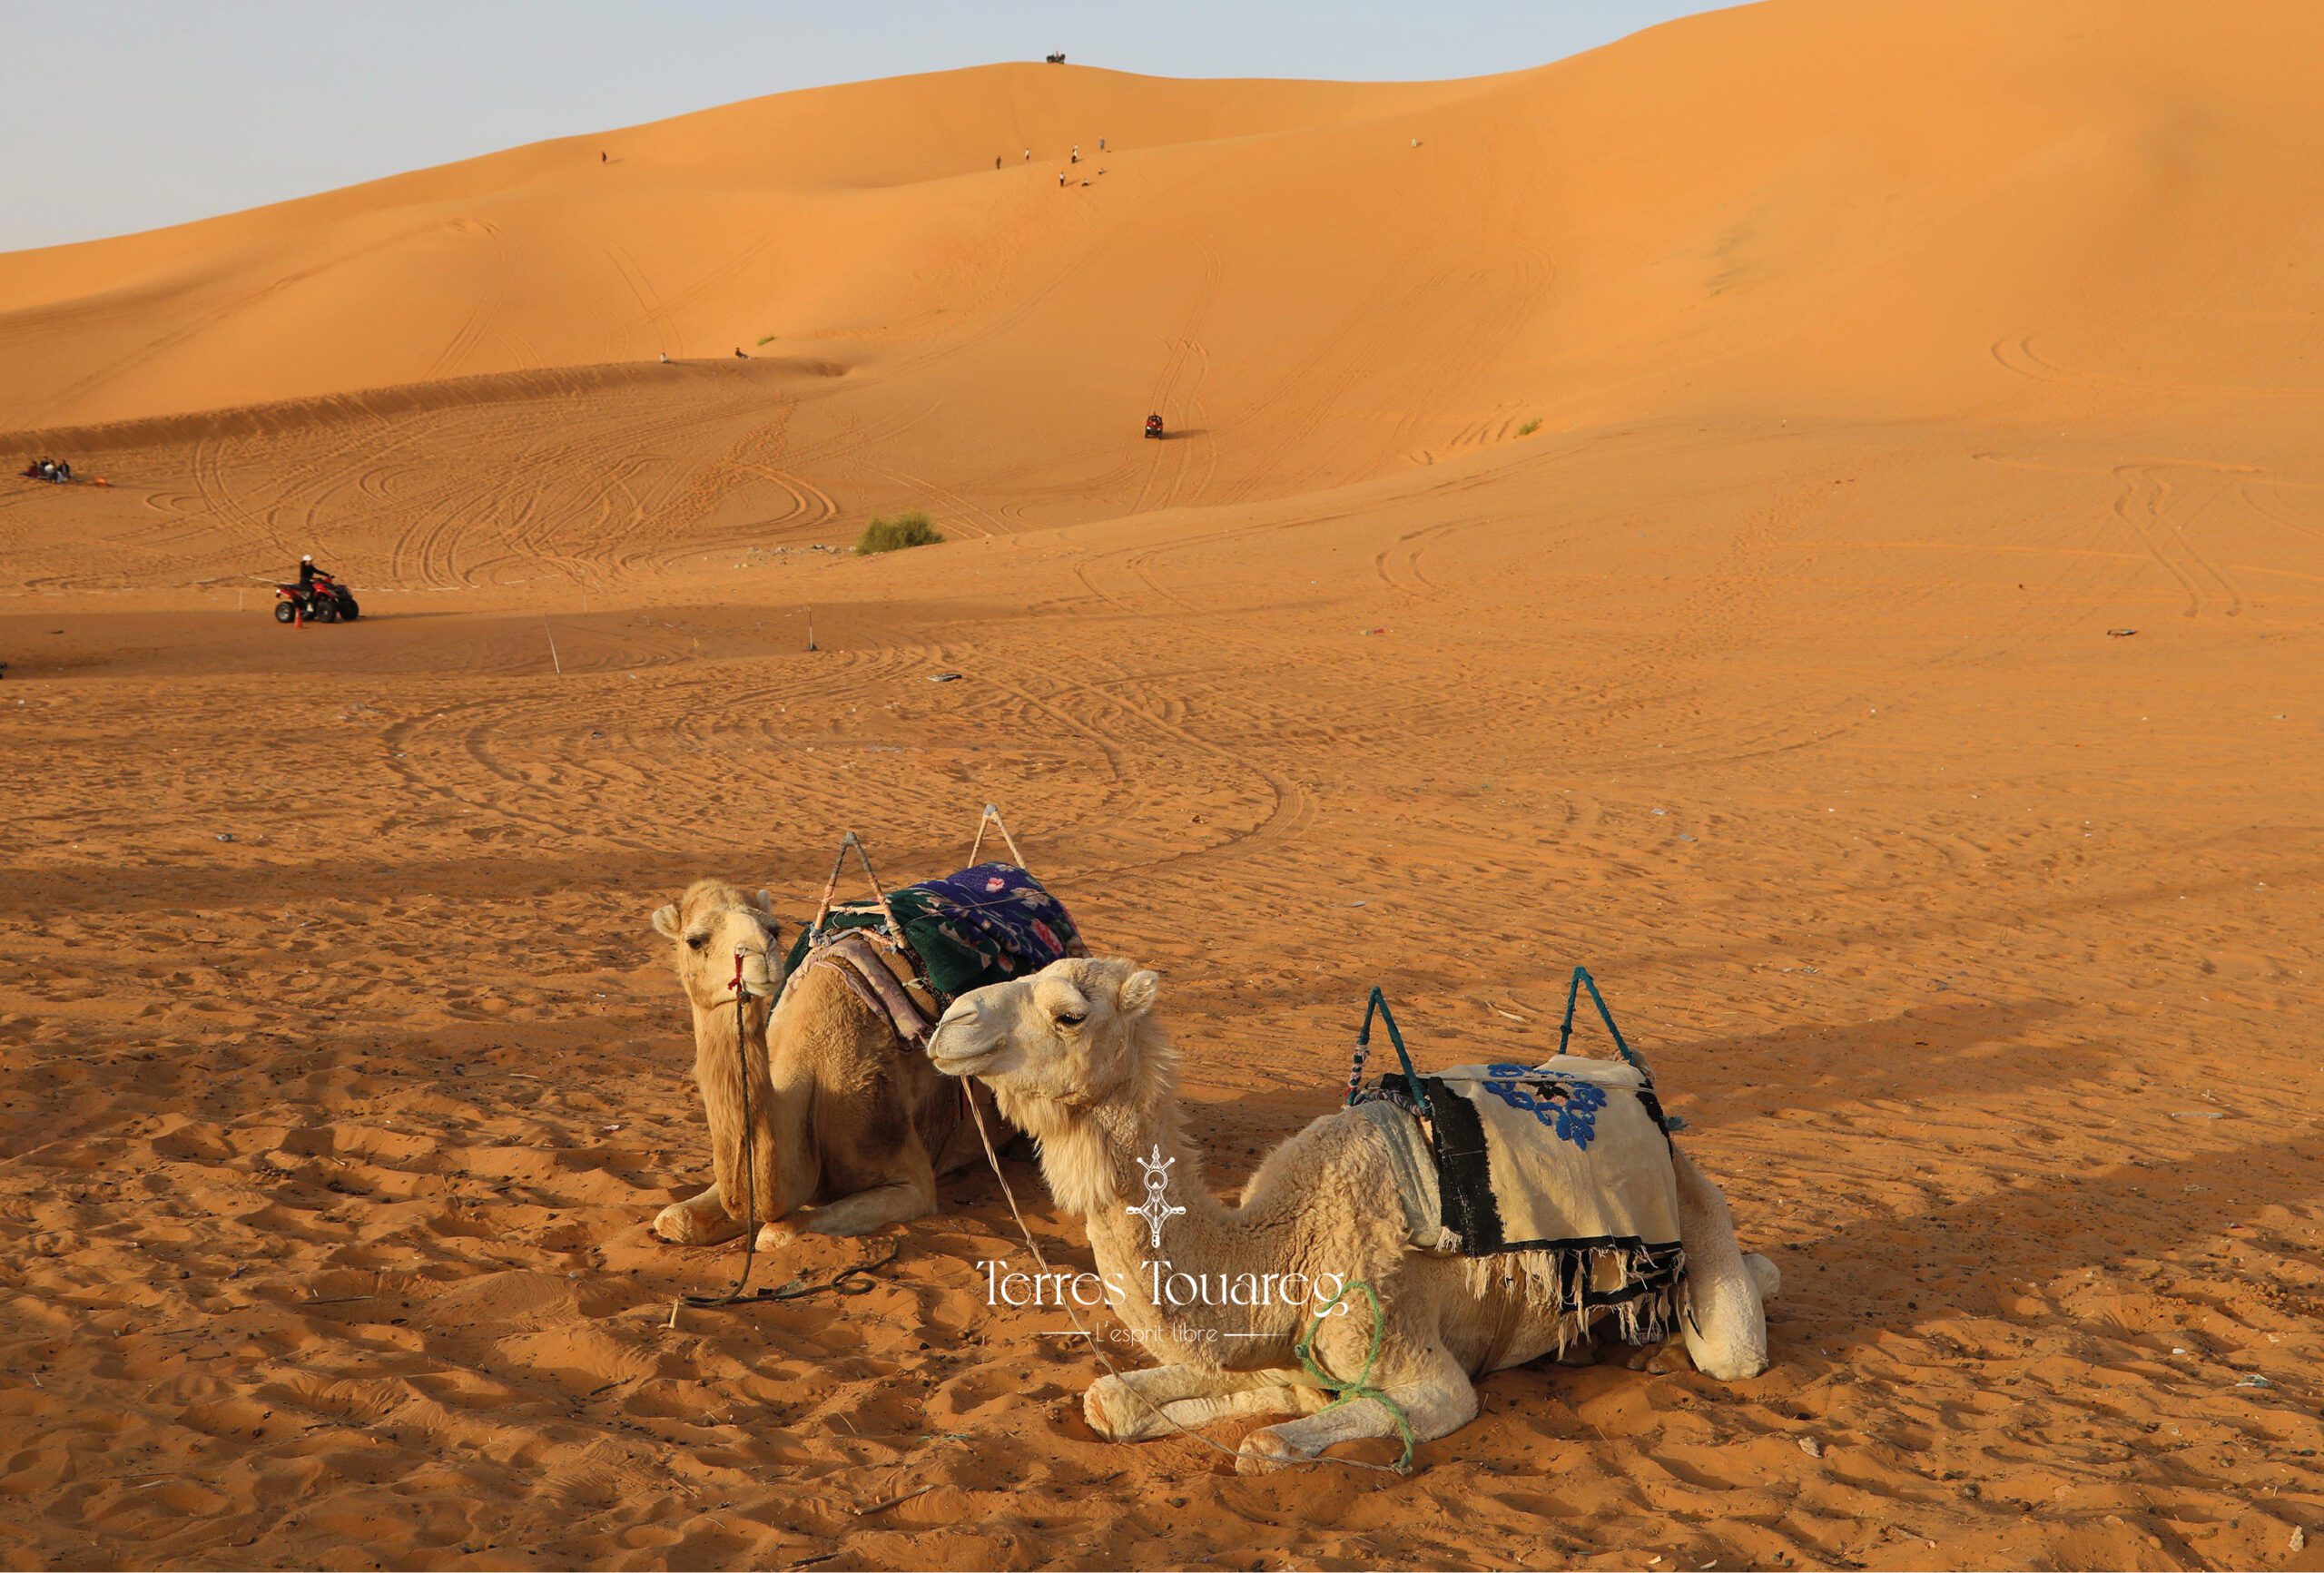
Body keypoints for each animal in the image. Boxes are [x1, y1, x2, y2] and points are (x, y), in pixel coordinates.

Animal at [645, 878, 990, 1245]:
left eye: (774, 929)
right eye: (695, 941)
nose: (761, 955)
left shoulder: (910, 1179)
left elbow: (775, 1234)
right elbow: (675, 1218)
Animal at [924, 957, 1775, 1468]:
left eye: (1070, 1013)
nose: (948, 1022)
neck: (1280, 1246)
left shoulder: (1418, 1365)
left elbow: (1265, 1447)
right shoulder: (1278, 1351)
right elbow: (1116, 1399)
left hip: (1699, 1214)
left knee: (1734, 1341)